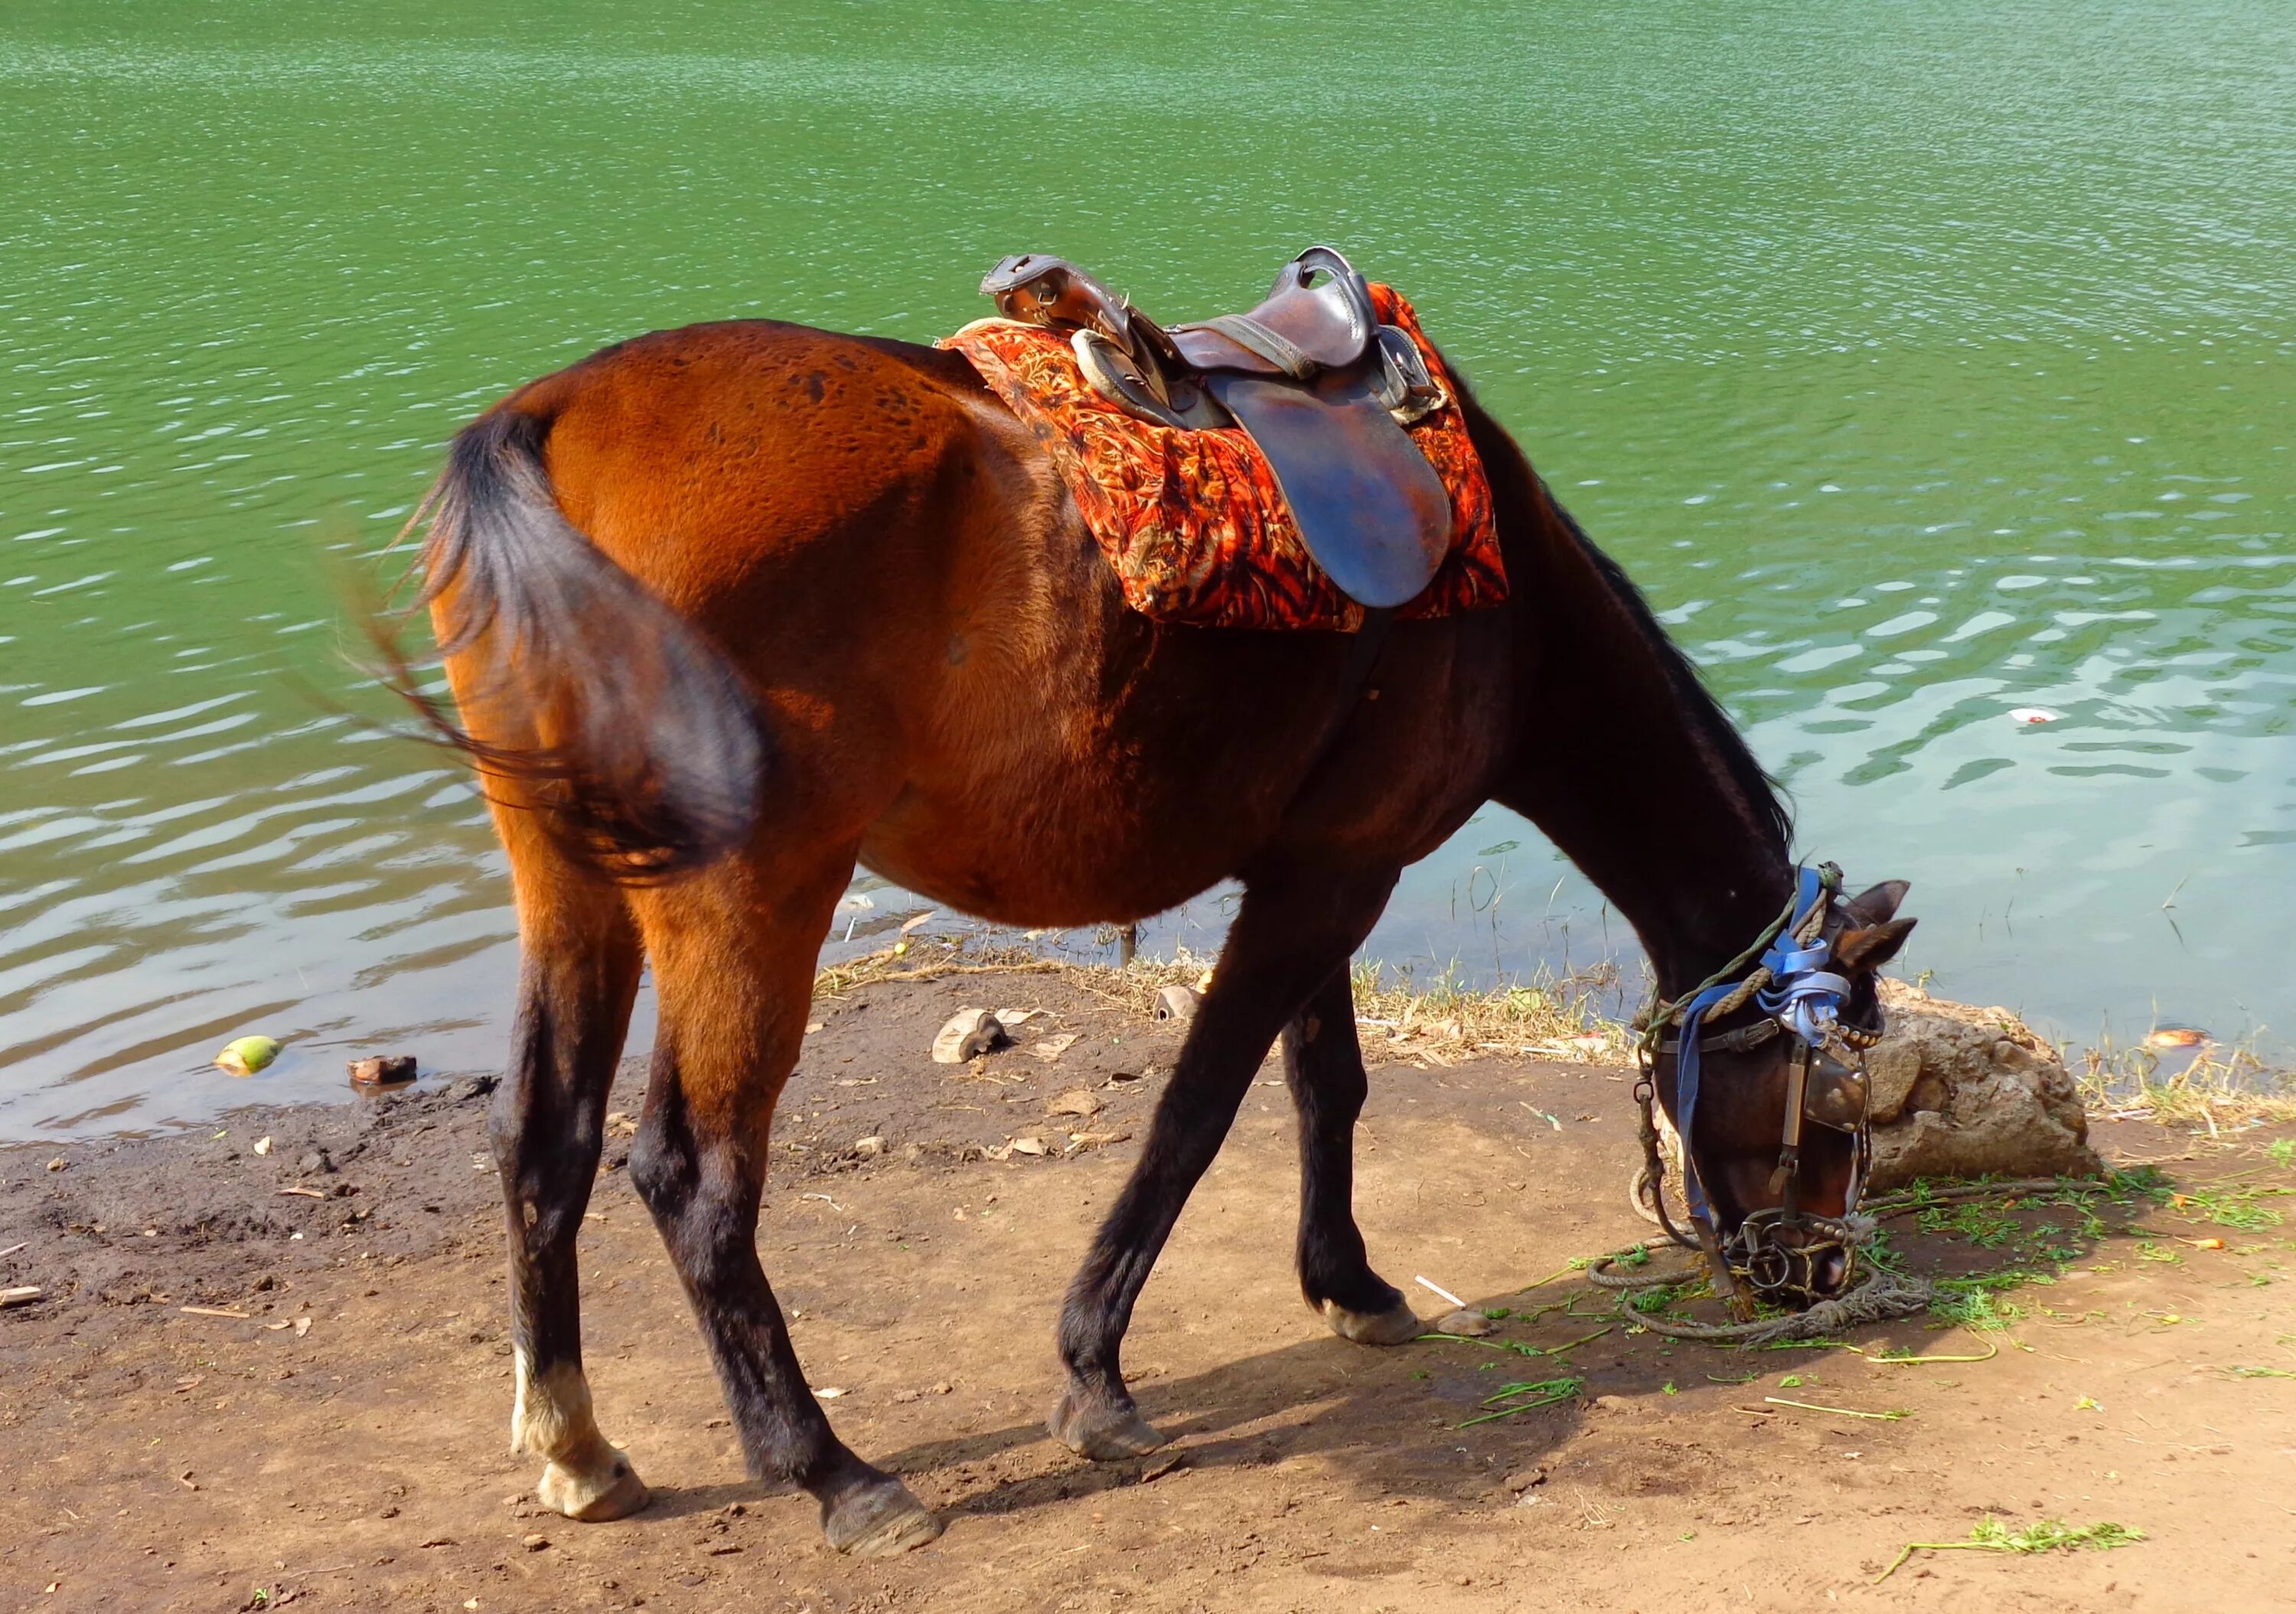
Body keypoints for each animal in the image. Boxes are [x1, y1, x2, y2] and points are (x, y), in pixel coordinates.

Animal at [395, 310, 1919, 1561]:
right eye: (1835, 1096)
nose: (1822, 1273)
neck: (1512, 605)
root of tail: (549, 417)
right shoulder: (1331, 881)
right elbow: (1198, 1112)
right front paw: (1095, 1376)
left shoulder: (1325, 863)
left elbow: (1325, 1083)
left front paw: (1351, 1283)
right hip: (752, 894)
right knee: (691, 1175)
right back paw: (836, 1474)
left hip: (570, 878)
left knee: (543, 1137)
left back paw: (578, 1447)